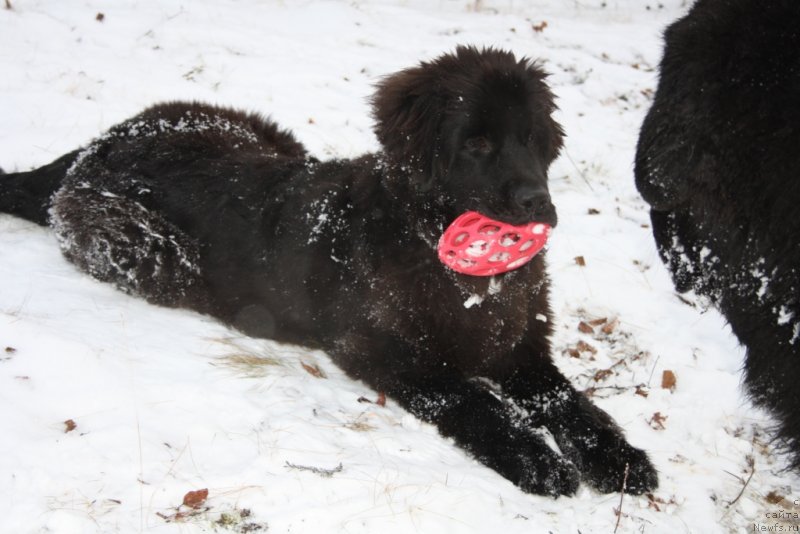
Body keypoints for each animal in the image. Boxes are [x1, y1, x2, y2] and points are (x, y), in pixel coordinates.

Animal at [1, 46, 656, 498]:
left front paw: (618, 458)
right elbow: (473, 401)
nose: (537, 203)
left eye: (531, 138)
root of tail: (88, 151)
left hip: (269, 134)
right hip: (150, 251)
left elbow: (569, 402)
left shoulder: (519, 345)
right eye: (476, 144)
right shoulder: (383, 350)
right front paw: (537, 461)